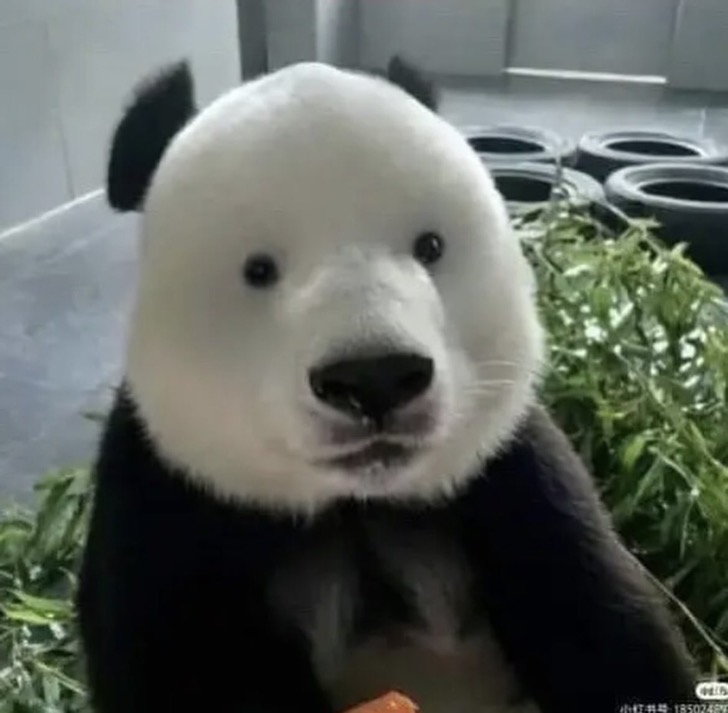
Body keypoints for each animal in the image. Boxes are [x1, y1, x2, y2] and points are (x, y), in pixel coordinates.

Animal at [76, 55, 697, 713]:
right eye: (258, 270)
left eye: (430, 246)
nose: (374, 379)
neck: (358, 503)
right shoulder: (167, 506)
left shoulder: (511, 474)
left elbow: (611, 630)